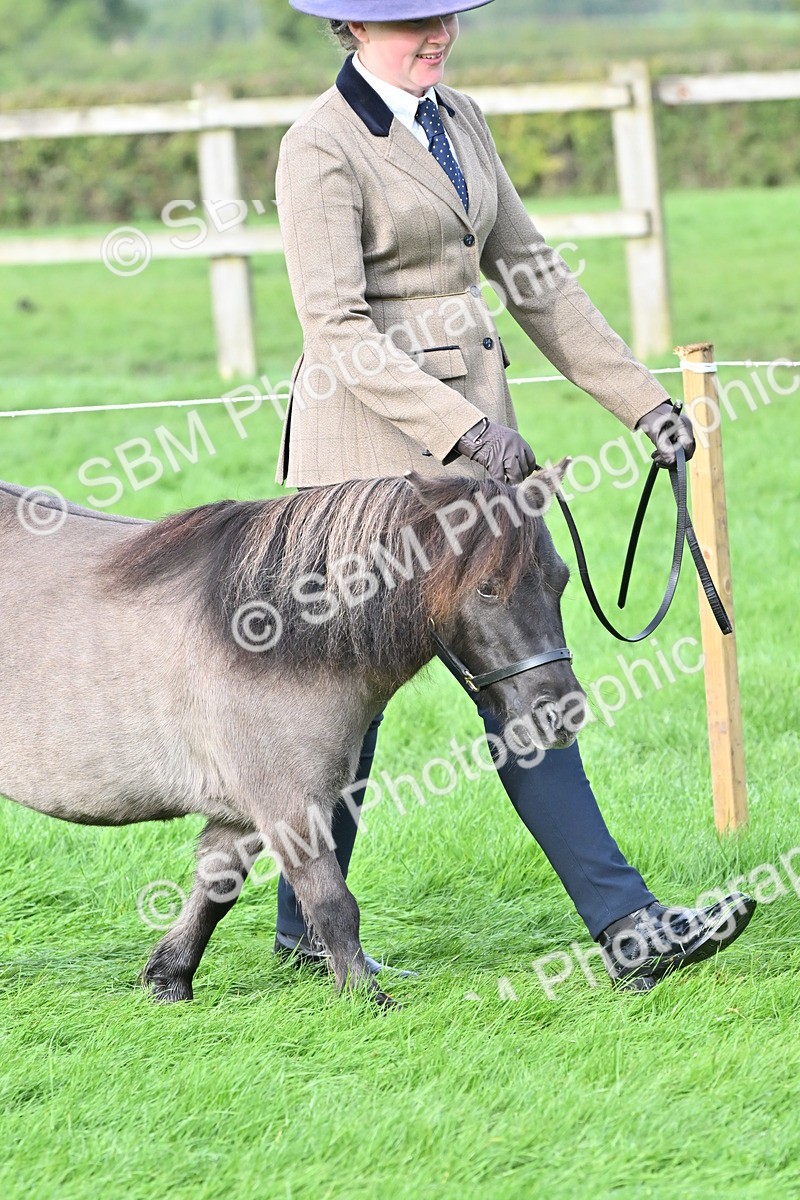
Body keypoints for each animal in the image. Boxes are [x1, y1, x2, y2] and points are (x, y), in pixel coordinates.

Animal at [0, 464, 584, 1006]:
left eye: (560, 579)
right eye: (487, 587)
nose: (562, 714)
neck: (274, 635)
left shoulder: (242, 816)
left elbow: (216, 888)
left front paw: (168, 978)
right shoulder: (289, 807)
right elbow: (333, 903)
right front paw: (366, 998)